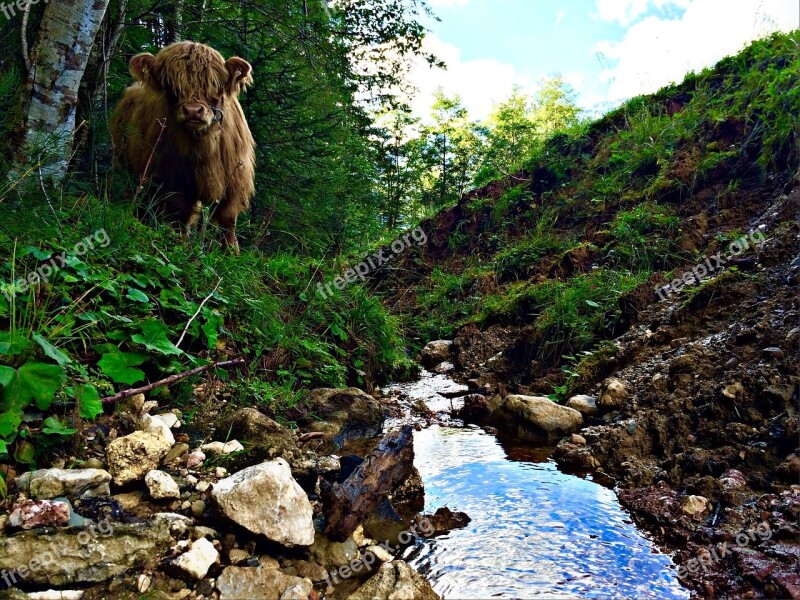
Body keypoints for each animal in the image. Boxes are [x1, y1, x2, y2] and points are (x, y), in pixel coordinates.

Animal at [111, 39, 255, 251]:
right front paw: (179, 246)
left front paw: (231, 252)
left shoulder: (234, 182)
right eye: (171, 86)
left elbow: (228, 222)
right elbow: (179, 217)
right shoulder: (174, 180)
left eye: (214, 84)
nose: (193, 111)